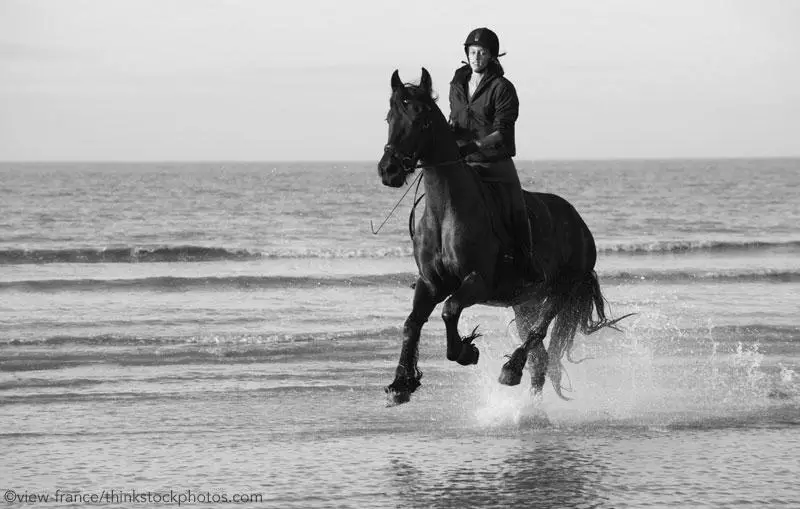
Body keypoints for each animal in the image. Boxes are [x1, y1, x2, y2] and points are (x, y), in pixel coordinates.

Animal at [376, 69, 632, 406]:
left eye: (421, 119)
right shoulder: (431, 283)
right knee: (541, 358)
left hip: (561, 290)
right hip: (525, 302)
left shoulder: (477, 281)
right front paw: (400, 384)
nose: (388, 170)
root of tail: (580, 225)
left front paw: (465, 351)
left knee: (539, 336)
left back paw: (511, 370)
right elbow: (411, 324)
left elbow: (450, 310)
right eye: (390, 116)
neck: (446, 210)